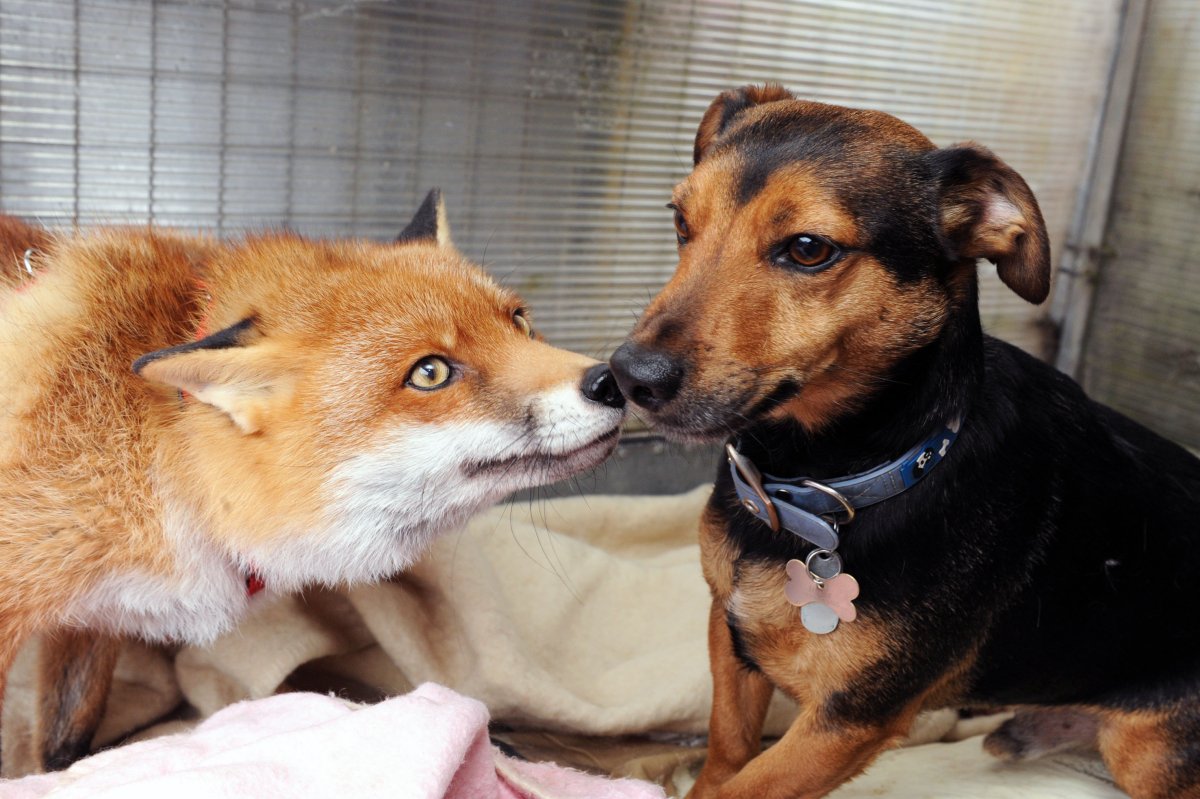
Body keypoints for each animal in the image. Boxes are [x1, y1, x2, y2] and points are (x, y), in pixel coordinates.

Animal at [0, 191, 626, 773]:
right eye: (430, 372)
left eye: (518, 321)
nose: (612, 381)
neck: (158, 444)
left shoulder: (92, 616)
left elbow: (65, 745)